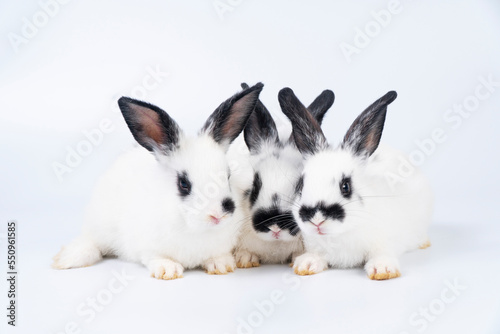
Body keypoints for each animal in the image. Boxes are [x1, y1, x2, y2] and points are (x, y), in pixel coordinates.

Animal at [53, 83, 266, 280]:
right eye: (183, 184)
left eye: (228, 176)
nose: (218, 215)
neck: (195, 229)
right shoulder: (148, 247)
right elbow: (156, 257)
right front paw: (168, 270)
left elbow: (217, 256)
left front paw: (222, 265)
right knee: (92, 243)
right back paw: (65, 259)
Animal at [280, 87, 432, 280]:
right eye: (300, 185)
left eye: (346, 186)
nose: (316, 219)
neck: (339, 234)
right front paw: (306, 264)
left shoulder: (384, 242)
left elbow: (381, 254)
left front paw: (382, 270)